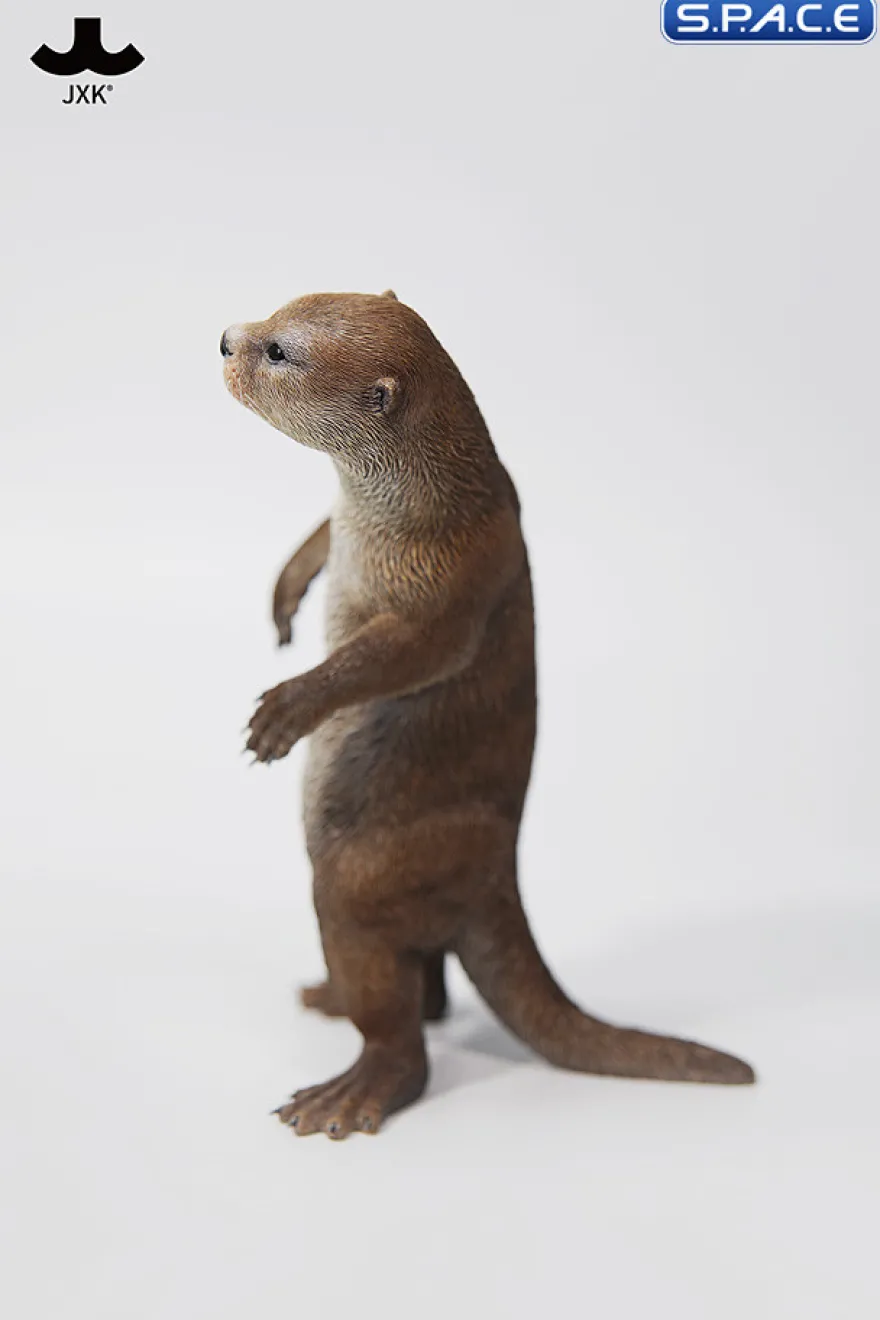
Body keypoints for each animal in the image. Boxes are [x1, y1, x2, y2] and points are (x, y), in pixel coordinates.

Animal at [221, 290, 755, 1139]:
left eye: (278, 351)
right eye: (274, 310)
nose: (225, 339)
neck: (413, 510)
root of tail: (496, 881)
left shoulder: (452, 577)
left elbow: (403, 656)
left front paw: (283, 712)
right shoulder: (356, 527)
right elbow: (318, 540)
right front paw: (285, 594)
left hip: (362, 873)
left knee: (399, 1022)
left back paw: (350, 1092)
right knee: (428, 987)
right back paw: (328, 998)